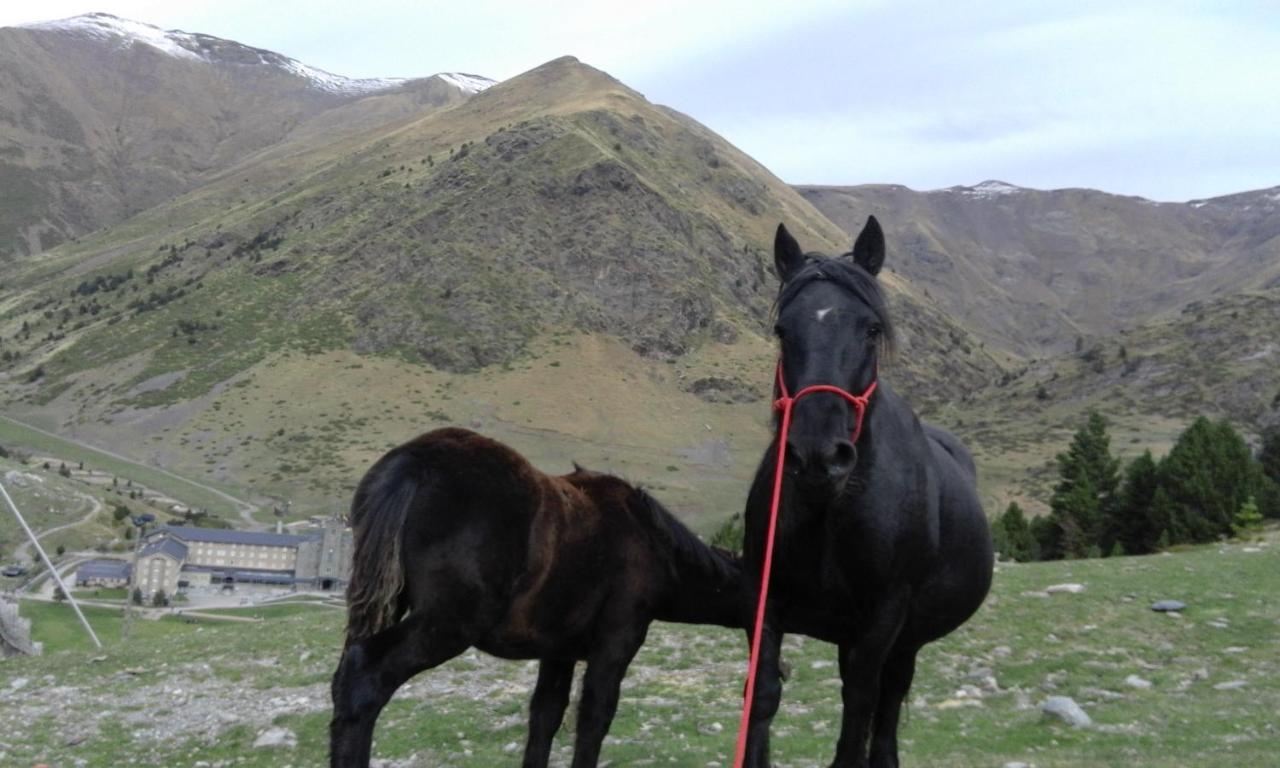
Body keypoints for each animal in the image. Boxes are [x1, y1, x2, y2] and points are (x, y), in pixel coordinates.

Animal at [330, 430, 747, 762]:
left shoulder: (559, 651)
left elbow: (545, 716)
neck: (653, 543)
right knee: (364, 681)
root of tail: (413, 465)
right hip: (446, 624)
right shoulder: (616, 643)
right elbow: (594, 718)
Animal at [737, 218, 993, 762]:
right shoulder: (764, 599)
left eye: (871, 330)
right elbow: (763, 695)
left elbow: (860, 708)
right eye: (782, 331)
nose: (817, 455)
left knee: (889, 701)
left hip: (905, 637)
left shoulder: (885, 616)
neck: (830, 507)